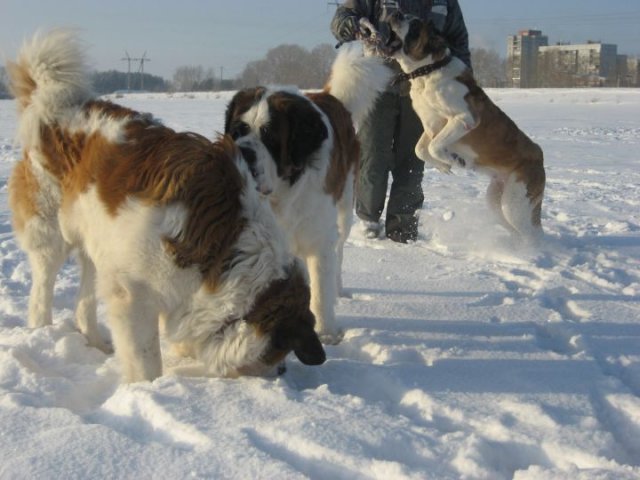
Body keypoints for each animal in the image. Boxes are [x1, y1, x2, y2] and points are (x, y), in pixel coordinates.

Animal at [5, 29, 324, 382]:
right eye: (281, 348)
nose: (282, 370)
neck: (228, 251)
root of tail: (56, 106)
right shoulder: (133, 293)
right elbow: (145, 359)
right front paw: (146, 387)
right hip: (49, 232)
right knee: (43, 287)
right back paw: (41, 331)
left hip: (96, 242)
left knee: (84, 299)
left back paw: (96, 344)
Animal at [225, 45, 396, 344]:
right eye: (238, 131)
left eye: (270, 136)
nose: (243, 151)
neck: (281, 193)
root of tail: (330, 97)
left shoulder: (319, 236)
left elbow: (321, 287)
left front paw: (326, 332)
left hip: (344, 208)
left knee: (338, 253)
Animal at [384, 12, 544, 244]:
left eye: (414, 26)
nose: (395, 13)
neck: (427, 71)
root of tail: (539, 155)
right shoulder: (432, 125)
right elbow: (421, 149)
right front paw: (443, 165)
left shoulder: (463, 119)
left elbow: (434, 146)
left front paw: (454, 159)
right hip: (496, 200)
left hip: (516, 204)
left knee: (532, 234)